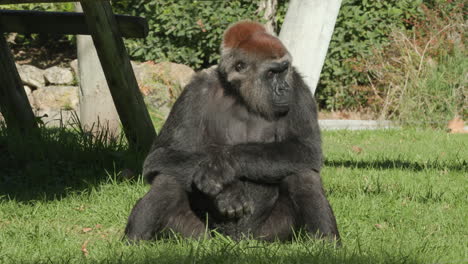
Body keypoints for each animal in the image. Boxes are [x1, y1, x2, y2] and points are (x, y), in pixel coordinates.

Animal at [124, 21, 340, 242]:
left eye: (284, 70)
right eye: (272, 73)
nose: (284, 88)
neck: (240, 94)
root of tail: (239, 241)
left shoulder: (297, 86)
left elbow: (306, 150)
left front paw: (224, 164)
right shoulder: (194, 91)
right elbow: (161, 155)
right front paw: (227, 192)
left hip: (268, 236)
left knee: (304, 176)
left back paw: (324, 243)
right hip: (200, 237)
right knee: (168, 179)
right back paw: (135, 242)